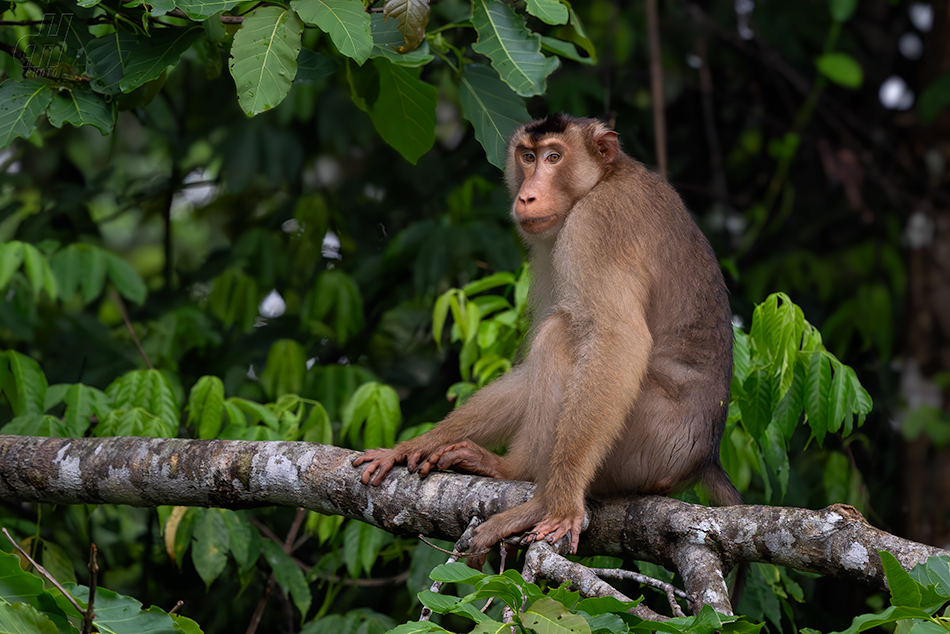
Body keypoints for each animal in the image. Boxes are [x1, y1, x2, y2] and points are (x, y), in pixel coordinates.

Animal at [354, 113, 740, 556]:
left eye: (554, 157)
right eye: (528, 156)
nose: (527, 196)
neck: (603, 179)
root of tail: (703, 456)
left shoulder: (597, 226)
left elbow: (616, 338)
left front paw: (559, 505)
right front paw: (414, 446)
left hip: (647, 443)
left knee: (562, 334)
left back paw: (539, 495)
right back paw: (507, 468)